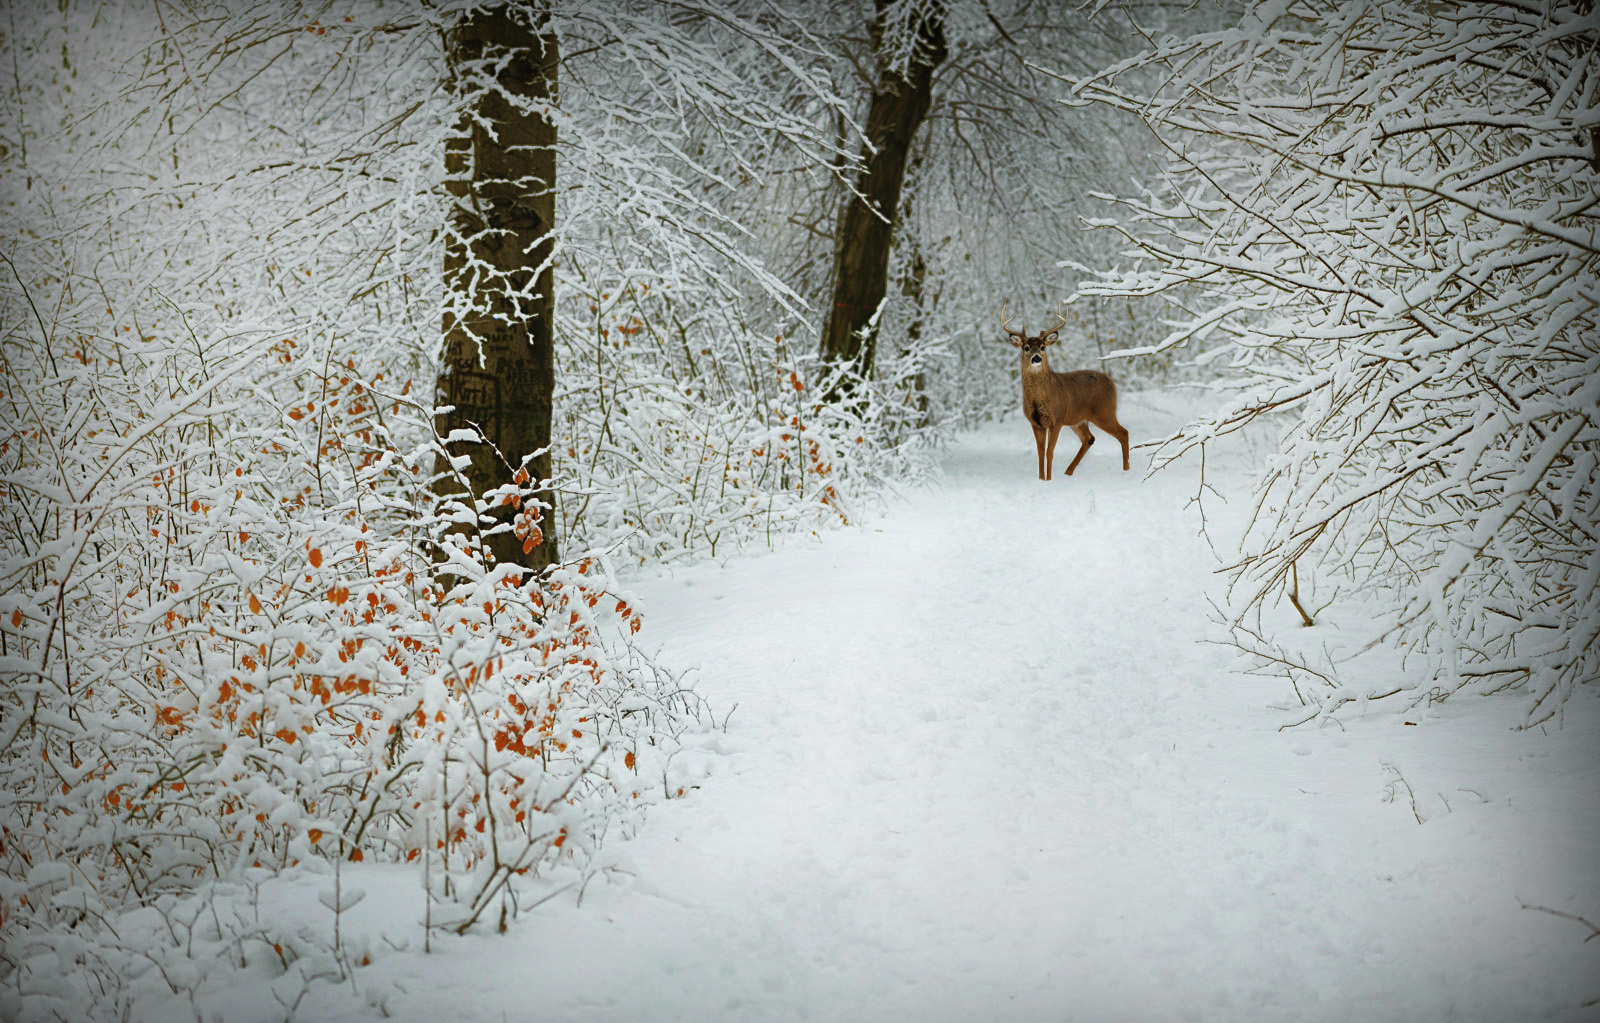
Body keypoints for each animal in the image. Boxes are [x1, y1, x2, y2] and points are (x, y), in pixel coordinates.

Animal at [1004, 302, 1132, 483]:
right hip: (1078, 420)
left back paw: (1126, 470)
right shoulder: (1035, 422)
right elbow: (1040, 453)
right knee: (1089, 439)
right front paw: (1041, 480)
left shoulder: (1056, 419)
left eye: (1042, 347)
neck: (1039, 398)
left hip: (1104, 412)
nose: (1036, 358)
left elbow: (1049, 452)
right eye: (1026, 347)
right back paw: (1068, 473)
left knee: (1123, 433)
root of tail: (1111, 381)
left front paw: (1048, 480)